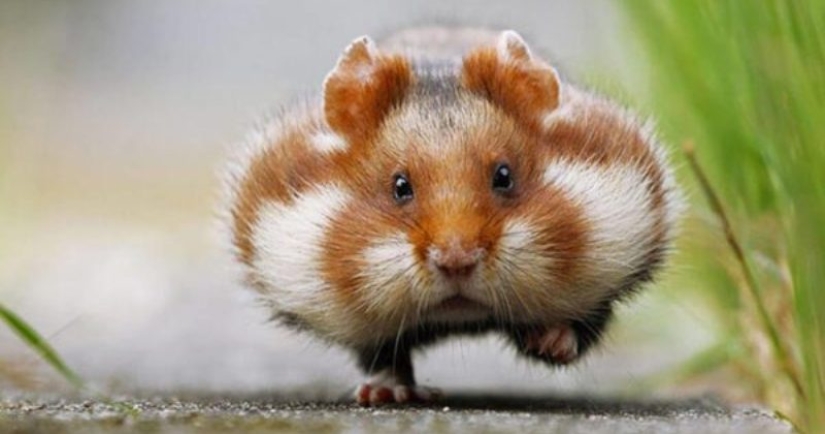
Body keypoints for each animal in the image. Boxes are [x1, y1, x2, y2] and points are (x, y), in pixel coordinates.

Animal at [222, 29, 682, 406]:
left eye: (504, 176)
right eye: (400, 186)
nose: (456, 261)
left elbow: (580, 328)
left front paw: (548, 342)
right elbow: (382, 354)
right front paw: (386, 393)